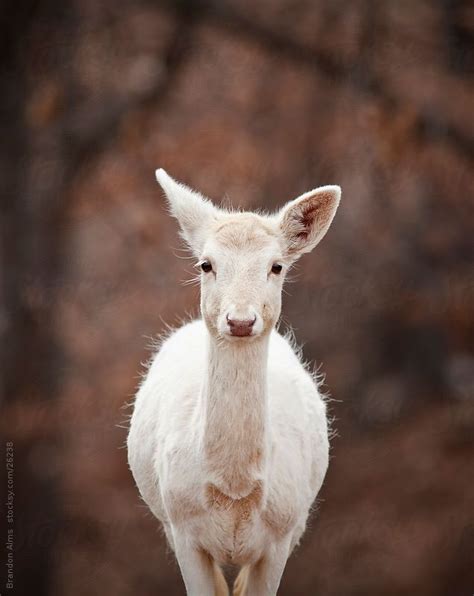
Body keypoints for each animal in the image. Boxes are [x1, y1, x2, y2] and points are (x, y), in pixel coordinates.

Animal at [126, 169, 340, 596]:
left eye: (277, 266)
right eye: (206, 264)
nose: (240, 320)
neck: (235, 491)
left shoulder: (280, 536)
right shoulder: (183, 530)